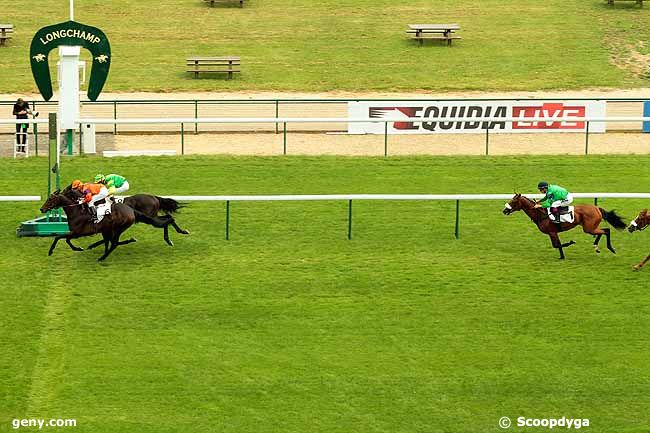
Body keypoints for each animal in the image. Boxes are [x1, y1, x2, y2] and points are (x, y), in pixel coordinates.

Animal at [39, 188, 171, 260]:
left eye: (50, 199)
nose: (42, 209)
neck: (77, 211)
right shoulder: (79, 232)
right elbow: (61, 238)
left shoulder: (78, 232)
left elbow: (61, 238)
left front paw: (53, 251)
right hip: (113, 228)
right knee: (113, 241)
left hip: (119, 228)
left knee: (114, 243)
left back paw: (102, 258)